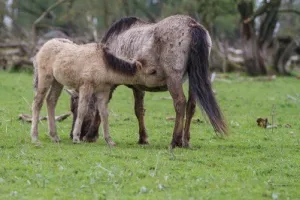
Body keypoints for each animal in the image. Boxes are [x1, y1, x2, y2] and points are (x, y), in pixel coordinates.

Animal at [69, 14, 226, 148]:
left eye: (74, 108)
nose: (72, 134)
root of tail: (192, 24)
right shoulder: (138, 86)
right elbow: (139, 110)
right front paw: (143, 138)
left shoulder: (110, 84)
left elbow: (100, 107)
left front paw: (90, 135)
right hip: (193, 78)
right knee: (191, 105)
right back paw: (185, 141)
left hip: (173, 78)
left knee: (180, 103)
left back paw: (175, 140)